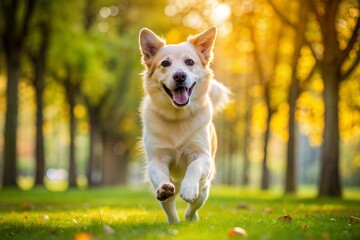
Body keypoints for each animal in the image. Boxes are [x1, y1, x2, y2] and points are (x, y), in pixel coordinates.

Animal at [139, 26, 229, 223]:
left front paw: (189, 188)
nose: (179, 75)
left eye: (189, 62)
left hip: (205, 189)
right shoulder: (157, 158)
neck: (177, 117)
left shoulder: (203, 155)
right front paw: (164, 186)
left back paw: (190, 218)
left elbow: (194, 166)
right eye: (165, 63)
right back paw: (174, 220)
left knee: (195, 205)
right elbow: (160, 174)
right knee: (169, 207)